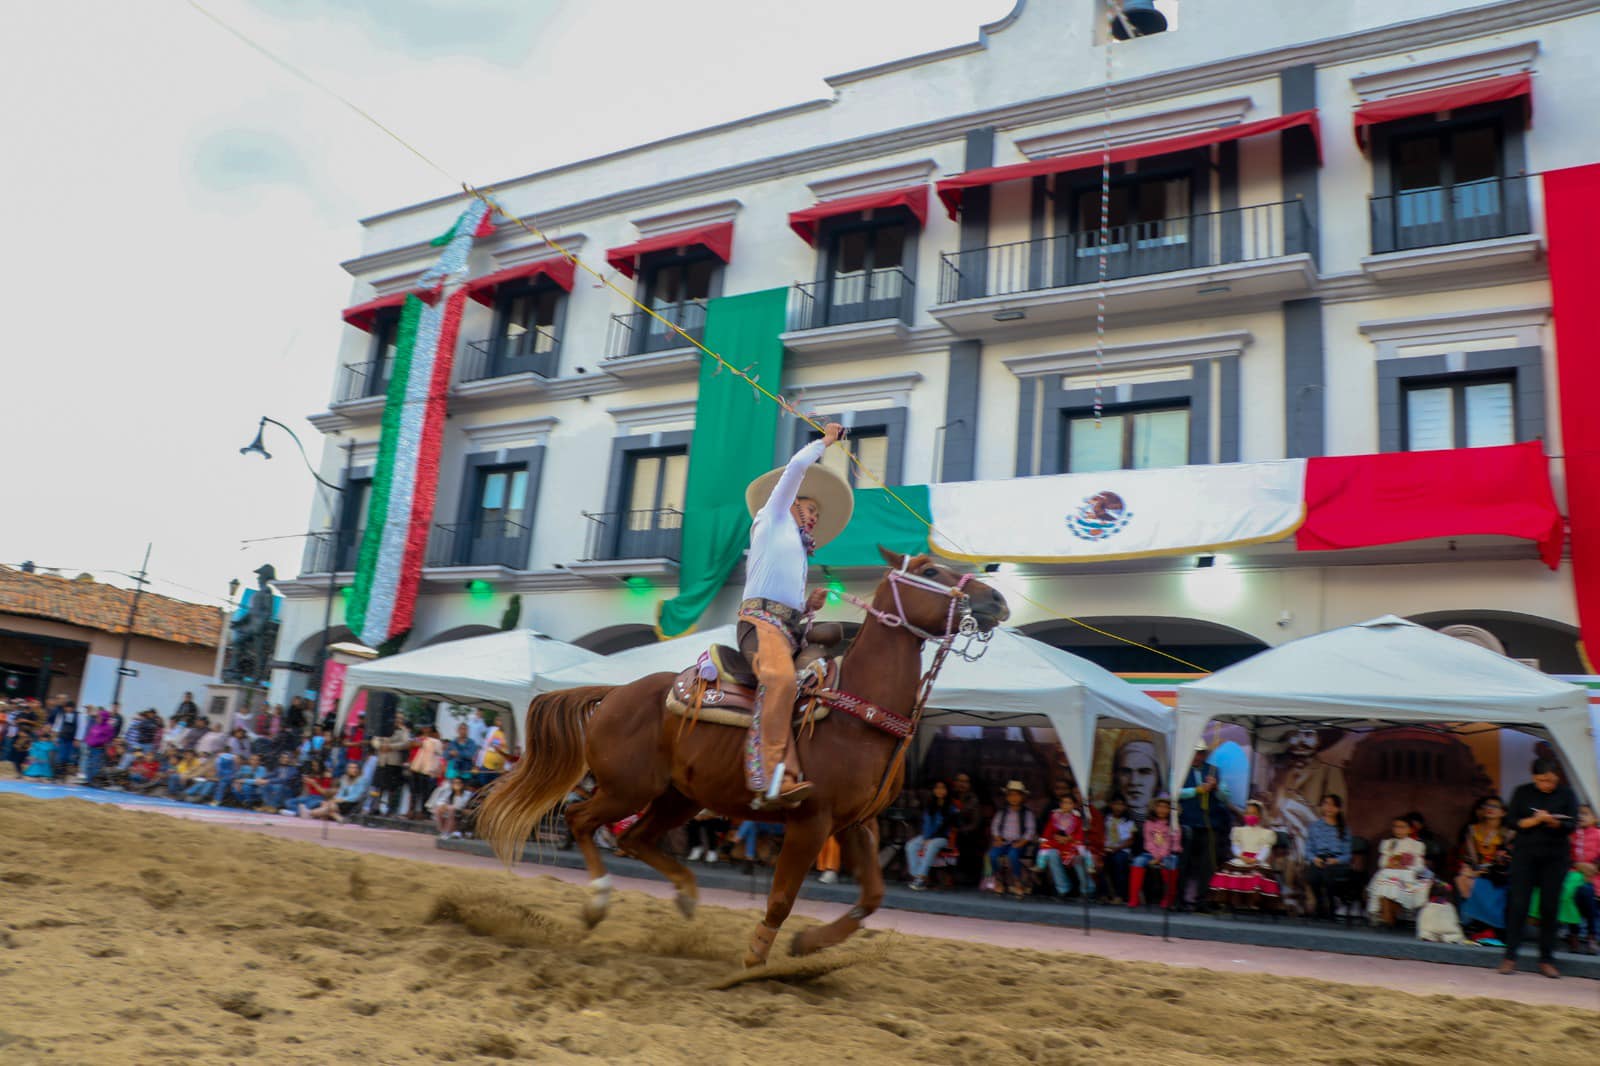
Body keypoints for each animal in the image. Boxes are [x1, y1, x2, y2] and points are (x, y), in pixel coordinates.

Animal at [467, 547, 1011, 960]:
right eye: (930, 571)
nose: (998, 598)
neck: (858, 713)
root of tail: (614, 692)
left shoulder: (858, 822)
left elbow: (873, 897)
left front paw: (809, 944)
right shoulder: (811, 821)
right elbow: (781, 900)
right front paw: (753, 965)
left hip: (678, 797)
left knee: (634, 839)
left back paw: (687, 896)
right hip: (628, 789)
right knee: (582, 819)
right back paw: (599, 902)